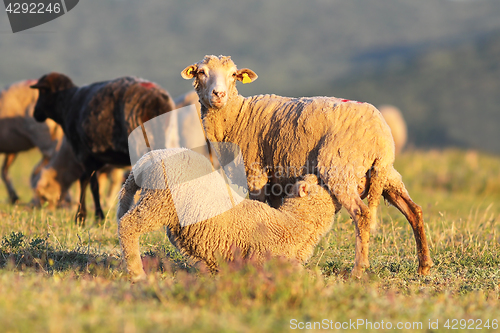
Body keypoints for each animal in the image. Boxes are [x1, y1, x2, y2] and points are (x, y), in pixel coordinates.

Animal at [30, 72, 176, 223]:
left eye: (42, 92)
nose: (35, 113)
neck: (66, 104)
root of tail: (156, 99)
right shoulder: (98, 159)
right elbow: (90, 181)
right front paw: (87, 216)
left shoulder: (84, 153)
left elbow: (90, 183)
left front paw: (89, 216)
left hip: (139, 142)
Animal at [117, 148, 336, 280]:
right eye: (320, 184)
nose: (315, 173)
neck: (293, 223)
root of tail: (148, 159)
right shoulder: (261, 258)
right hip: (159, 201)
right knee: (128, 225)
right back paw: (137, 273)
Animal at [181, 55, 434, 276]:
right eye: (202, 72)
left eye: (233, 74)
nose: (219, 94)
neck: (236, 116)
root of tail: (380, 134)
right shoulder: (276, 180)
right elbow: (275, 213)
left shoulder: (256, 172)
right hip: (386, 173)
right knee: (414, 211)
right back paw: (423, 266)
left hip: (340, 168)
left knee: (362, 214)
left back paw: (358, 270)